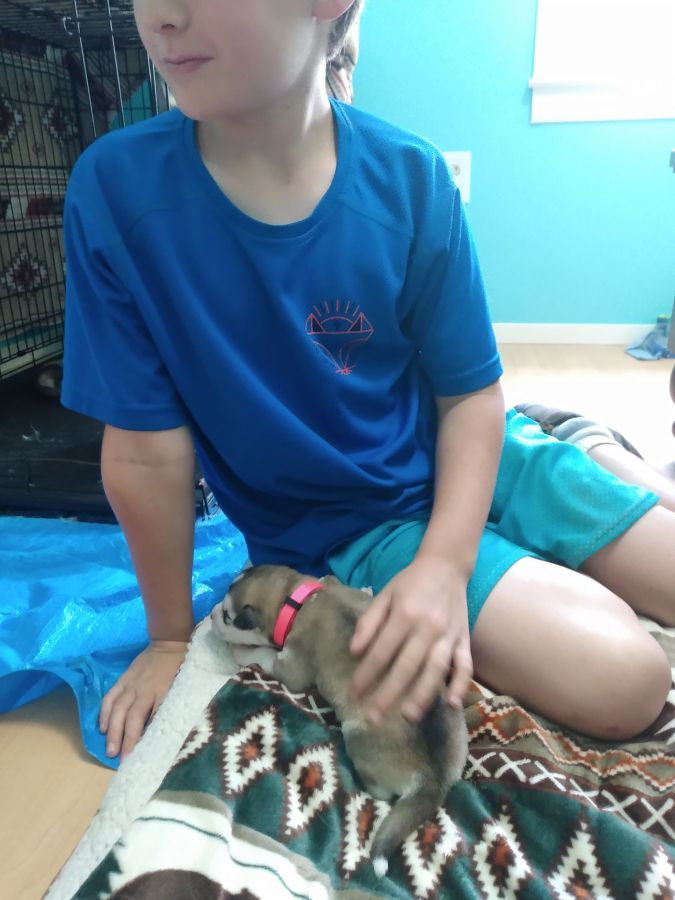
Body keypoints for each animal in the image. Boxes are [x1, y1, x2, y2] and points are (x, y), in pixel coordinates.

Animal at [210, 564, 468, 877]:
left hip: (356, 734)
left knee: (379, 791)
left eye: (227, 616)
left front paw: (242, 651)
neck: (295, 597)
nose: (210, 615)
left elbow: (268, 656)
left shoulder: (291, 665)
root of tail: (436, 780)